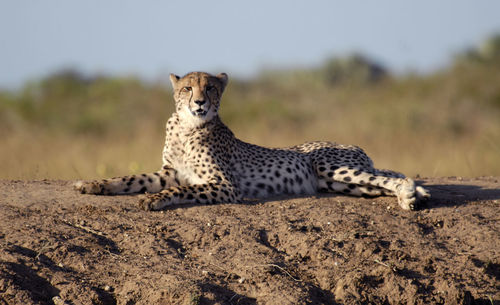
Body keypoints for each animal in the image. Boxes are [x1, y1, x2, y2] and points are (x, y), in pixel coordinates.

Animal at [75, 72, 430, 209]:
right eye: (188, 88)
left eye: (211, 88)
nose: (200, 102)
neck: (187, 126)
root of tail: (355, 147)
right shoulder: (167, 172)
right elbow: (129, 178)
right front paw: (93, 184)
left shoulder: (224, 184)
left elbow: (181, 190)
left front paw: (156, 199)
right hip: (339, 183)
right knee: (383, 180)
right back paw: (416, 194)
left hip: (329, 166)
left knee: (391, 178)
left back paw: (408, 198)